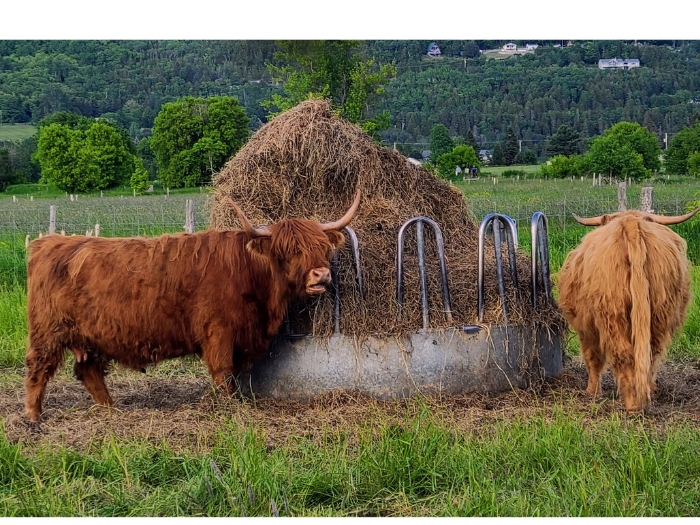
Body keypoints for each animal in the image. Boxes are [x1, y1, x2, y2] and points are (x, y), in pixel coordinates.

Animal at [24, 190, 361, 421]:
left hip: (92, 337)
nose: (321, 275)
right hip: (47, 333)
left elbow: (238, 373)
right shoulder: (218, 331)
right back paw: (33, 417)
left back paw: (111, 411)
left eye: (321, 247)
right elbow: (223, 372)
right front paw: (228, 407)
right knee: (38, 369)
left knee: (89, 371)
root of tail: (48, 243)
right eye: (288, 250)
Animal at [557, 207, 699, 412]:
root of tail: (631, 222)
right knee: (651, 353)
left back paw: (632, 404)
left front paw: (592, 392)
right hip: (660, 310)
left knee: (622, 354)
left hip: (612, 312)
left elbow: (592, 357)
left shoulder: (586, 327)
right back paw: (646, 393)